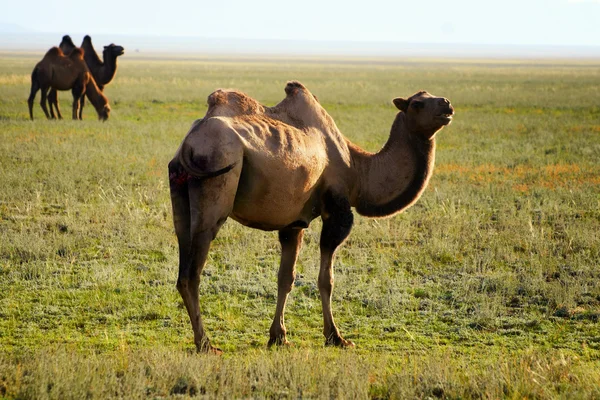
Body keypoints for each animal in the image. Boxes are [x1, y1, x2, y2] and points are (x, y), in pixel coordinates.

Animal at [166, 81, 452, 354]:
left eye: (431, 96)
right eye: (416, 104)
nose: (447, 104)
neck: (358, 170)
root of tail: (188, 144)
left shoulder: (293, 222)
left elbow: (286, 278)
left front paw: (279, 337)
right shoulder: (337, 210)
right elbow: (327, 279)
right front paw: (336, 337)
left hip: (179, 194)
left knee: (182, 262)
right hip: (216, 179)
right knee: (193, 272)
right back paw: (206, 344)